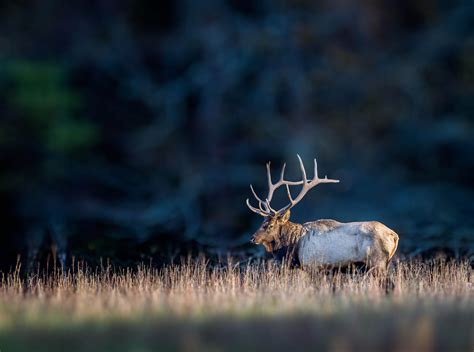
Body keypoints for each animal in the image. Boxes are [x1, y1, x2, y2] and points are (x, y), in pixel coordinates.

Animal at [246, 155, 398, 272]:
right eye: (262, 222)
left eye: (270, 225)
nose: (253, 238)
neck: (294, 248)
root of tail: (394, 236)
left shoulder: (313, 266)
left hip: (377, 263)